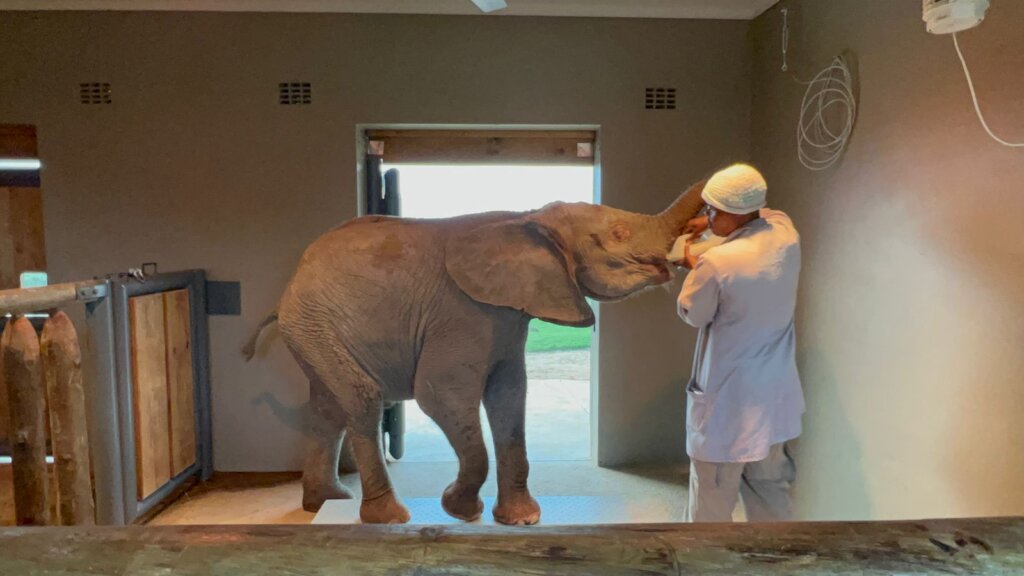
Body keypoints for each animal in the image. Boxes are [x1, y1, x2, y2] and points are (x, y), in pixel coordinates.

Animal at [243, 178, 707, 525]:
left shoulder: (508, 317)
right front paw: (460, 510)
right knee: (361, 398)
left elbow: (510, 397)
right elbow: (441, 395)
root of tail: (291, 285)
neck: (529, 216)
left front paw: (521, 520)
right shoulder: (463, 313)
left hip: (312, 329)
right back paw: (386, 518)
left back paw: (326, 503)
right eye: (618, 234)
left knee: (329, 408)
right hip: (312, 323)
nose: (698, 235)